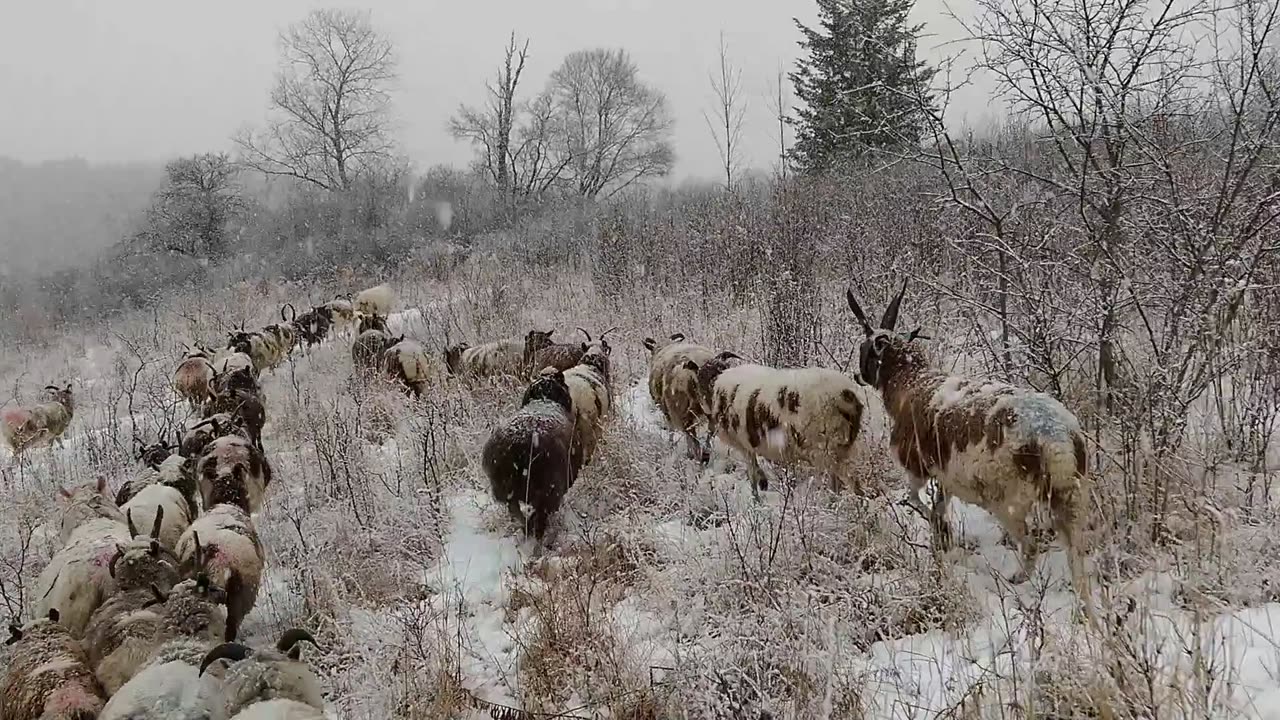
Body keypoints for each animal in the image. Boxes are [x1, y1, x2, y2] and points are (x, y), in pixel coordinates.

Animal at [481, 368, 581, 538]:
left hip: (504, 488)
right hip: (548, 490)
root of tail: (519, 446)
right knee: (540, 517)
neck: (544, 399)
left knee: (515, 510)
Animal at [686, 348, 865, 499]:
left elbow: (752, 475)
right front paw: (763, 483)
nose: (704, 406)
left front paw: (756, 502)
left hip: (827, 448)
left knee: (850, 482)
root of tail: (847, 395)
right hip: (842, 447)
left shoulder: (744, 444)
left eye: (700, 379)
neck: (717, 383)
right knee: (842, 483)